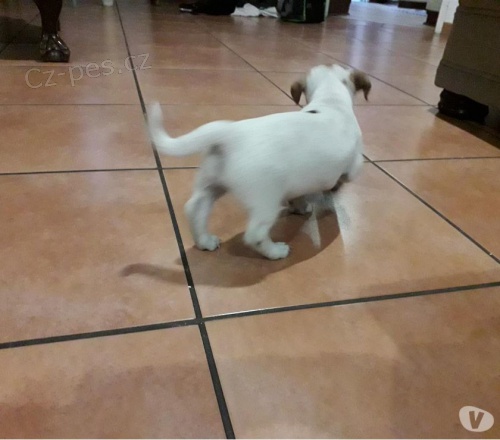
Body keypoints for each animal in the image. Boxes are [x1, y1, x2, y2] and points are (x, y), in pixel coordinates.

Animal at [147, 64, 371, 260]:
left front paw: (300, 206)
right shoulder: (354, 165)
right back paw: (276, 251)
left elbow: (298, 196)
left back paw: (205, 241)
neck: (330, 100)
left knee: (195, 207)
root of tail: (230, 134)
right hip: (265, 200)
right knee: (255, 235)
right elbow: (346, 175)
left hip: (212, 183)